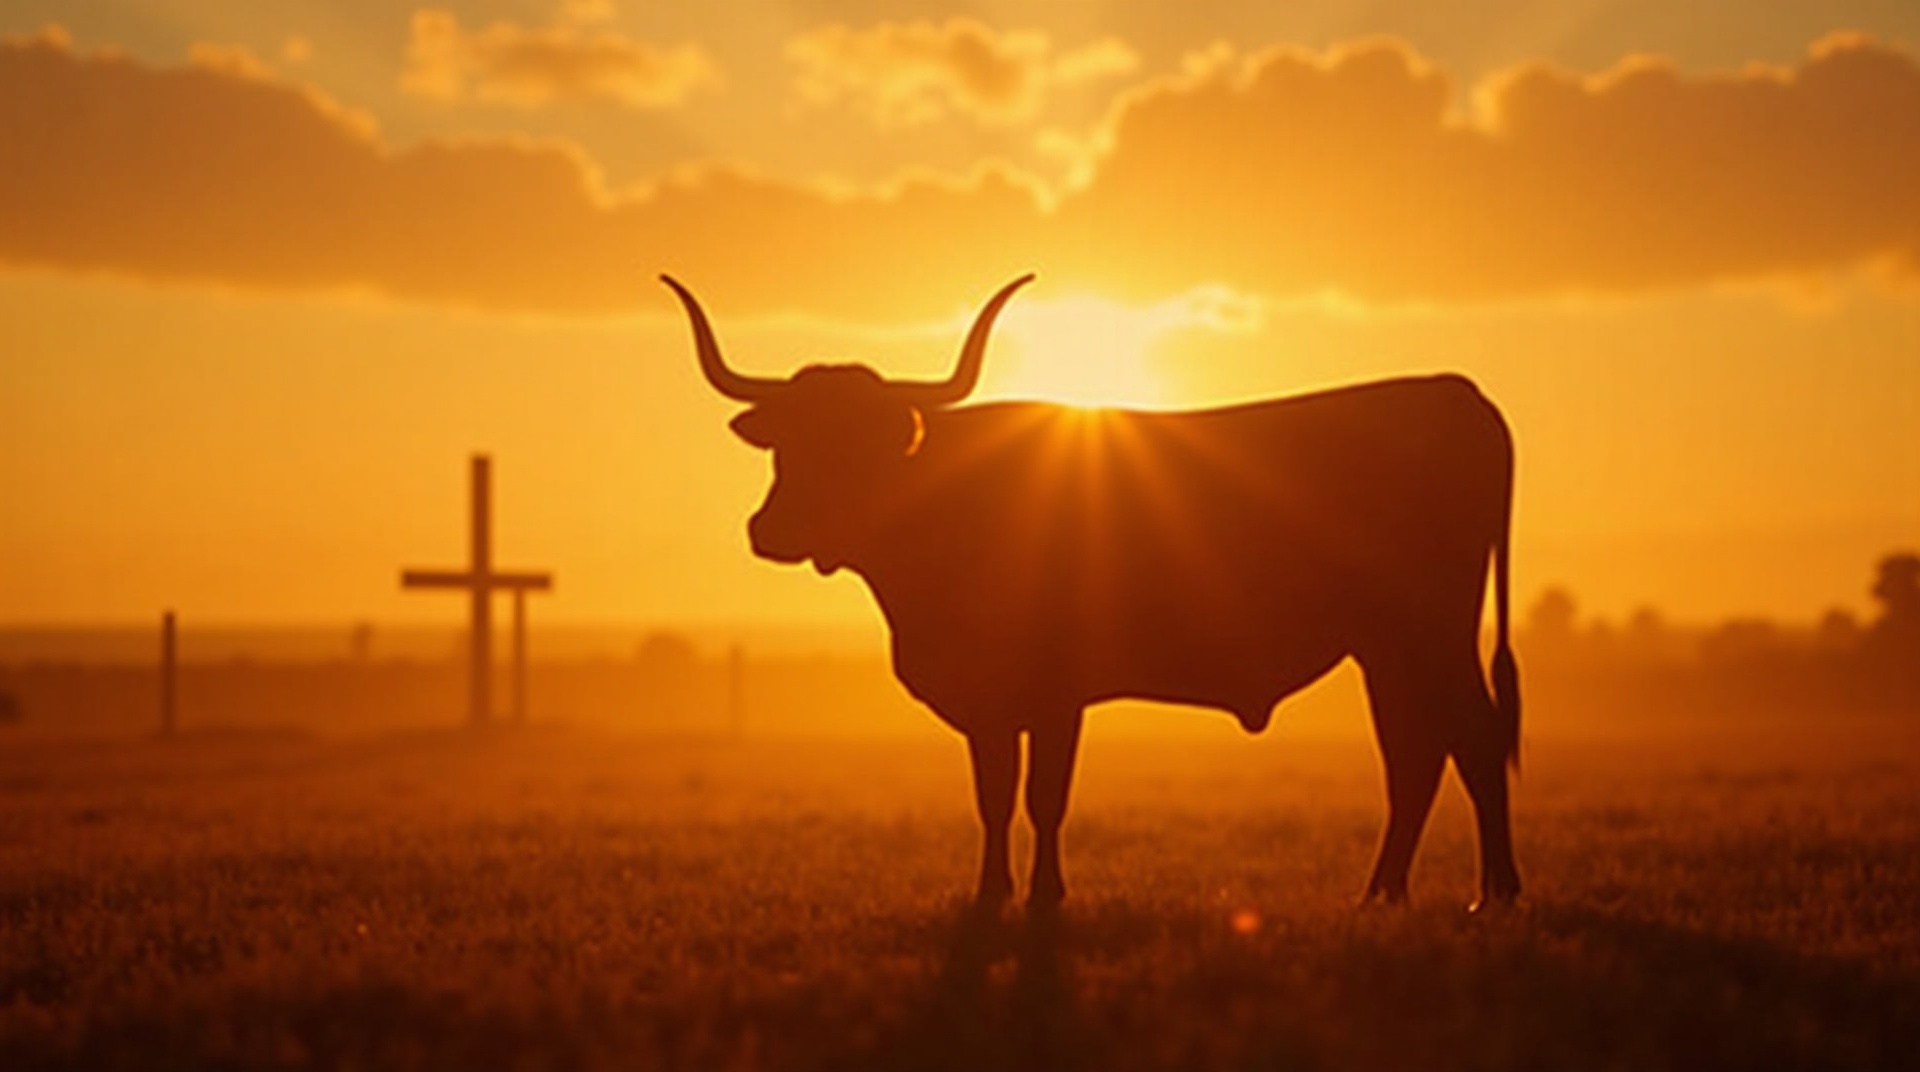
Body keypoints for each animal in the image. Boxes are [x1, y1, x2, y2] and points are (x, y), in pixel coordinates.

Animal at [662, 273, 1522, 911]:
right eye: (786, 442)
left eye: (859, 443)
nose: (771, 530)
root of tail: (1455, 391)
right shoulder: (989, 703)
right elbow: (993, 794)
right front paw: (990, 894)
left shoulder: (1056, 693)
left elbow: (1045, 795)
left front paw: (1045, 896)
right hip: (1388, 646)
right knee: (1416, 752)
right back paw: (1382, 894)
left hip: (1434, 631)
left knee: (1472, 738)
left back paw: (1495, 894)